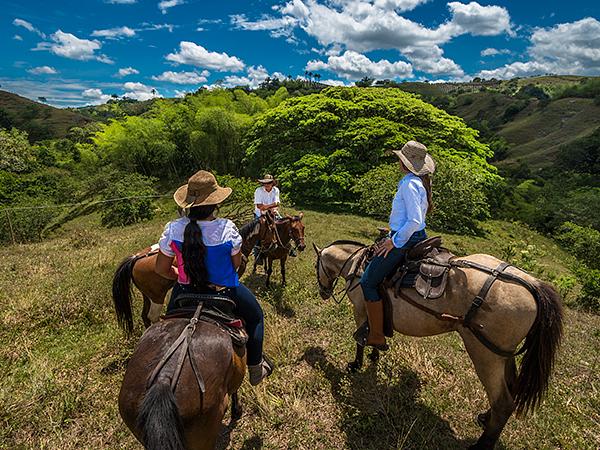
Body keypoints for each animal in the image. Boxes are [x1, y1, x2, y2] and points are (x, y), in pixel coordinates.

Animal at [111, 216, 276, 332]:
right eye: (272, 228)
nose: (274, 244)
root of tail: (136, 258)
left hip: (148, 296)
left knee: (145, 316)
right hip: (157, 297)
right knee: (152, 316)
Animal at [314, 241, 564, 450]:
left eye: (316, 265)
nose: (324, 293)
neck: (356, 264)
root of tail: (532, 284)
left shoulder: (360, 308)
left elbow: (359, 342)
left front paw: (355, 364)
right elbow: (376, 334)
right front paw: (375, 354)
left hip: (485, 355)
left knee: (503, 402)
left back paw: (482, 445)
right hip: (503, 354)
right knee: (510, 388)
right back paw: (485, 418)